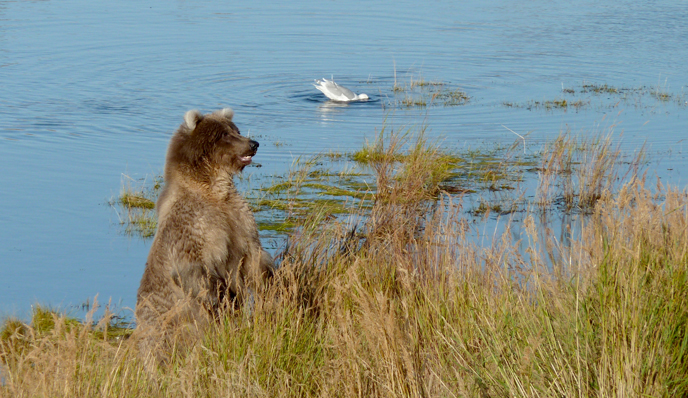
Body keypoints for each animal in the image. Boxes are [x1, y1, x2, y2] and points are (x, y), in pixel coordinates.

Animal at [134, 107, 274, 366]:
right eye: (224, 134)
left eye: (236, 130)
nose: (253, 143)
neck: (213, 191)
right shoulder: (194, 225)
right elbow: (193, 269)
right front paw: (221, 302)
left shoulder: (239, 221)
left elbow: (254, 256)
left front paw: (272, 281)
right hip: (164, 326)